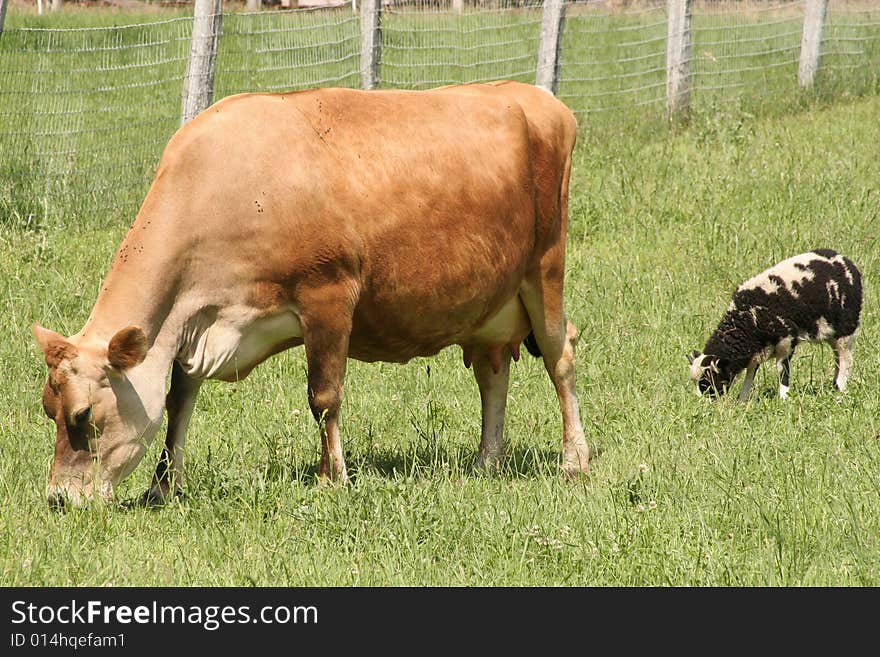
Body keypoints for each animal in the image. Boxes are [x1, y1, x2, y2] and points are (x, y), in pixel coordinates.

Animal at [32, 79, 592, 504]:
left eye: (83, 415)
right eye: (47, 409)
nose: (58, 499)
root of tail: (534, 96)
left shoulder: (329, 294)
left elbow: (323, 397)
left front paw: (332, 478)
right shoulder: (195, 325)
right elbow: (177, 403)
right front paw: (163, 487)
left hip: (546, 267)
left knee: (560, 356)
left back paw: (575, 460)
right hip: (488, 304)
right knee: (492, 374)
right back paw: (486, 461)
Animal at [688, 247, 860, 398]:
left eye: (708, 380)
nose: (703, 404)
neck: (747, 319)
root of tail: (844, 260)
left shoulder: (786, 341)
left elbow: (782, 370)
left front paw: (784, 397)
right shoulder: (757, 349)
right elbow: (750, 373)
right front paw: (742, 398)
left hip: (845, 330)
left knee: (846, 359)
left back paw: (840, 389)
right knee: (838, 359)